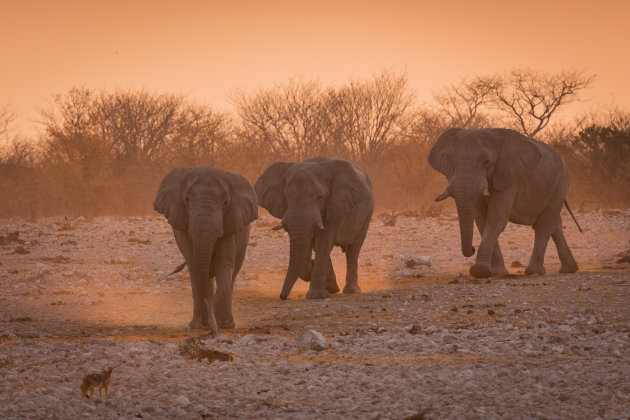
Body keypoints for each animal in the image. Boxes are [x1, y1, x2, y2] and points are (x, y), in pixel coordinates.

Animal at [154, 167, 258, 334]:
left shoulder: (230, 225)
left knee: (232, 273)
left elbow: (224, 265)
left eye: (226, 203)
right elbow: (195, 266)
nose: (212, 329)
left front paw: (222, 324)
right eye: (187, 199)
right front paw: (200, 325)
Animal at [256, 157, 376, 298]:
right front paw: (323, 281)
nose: (282, 297)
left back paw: (351, 291)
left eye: (320, 197)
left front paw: (316, 296)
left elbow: (323, 243)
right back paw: (333, 288)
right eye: (286, 196)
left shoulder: (334, 205)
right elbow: (313, 246)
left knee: (353, 250)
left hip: (367, 214)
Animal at [430, 128, 584, 278]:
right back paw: (569, 269)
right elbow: (481, 219)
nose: (472, 248)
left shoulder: (508, 176)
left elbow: (496, 218)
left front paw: (480, 271)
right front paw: (497, 272)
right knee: (555, 223)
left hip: (561, 183)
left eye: (486, 162)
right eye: (452, 162)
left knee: (544, 225)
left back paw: (535, 271)